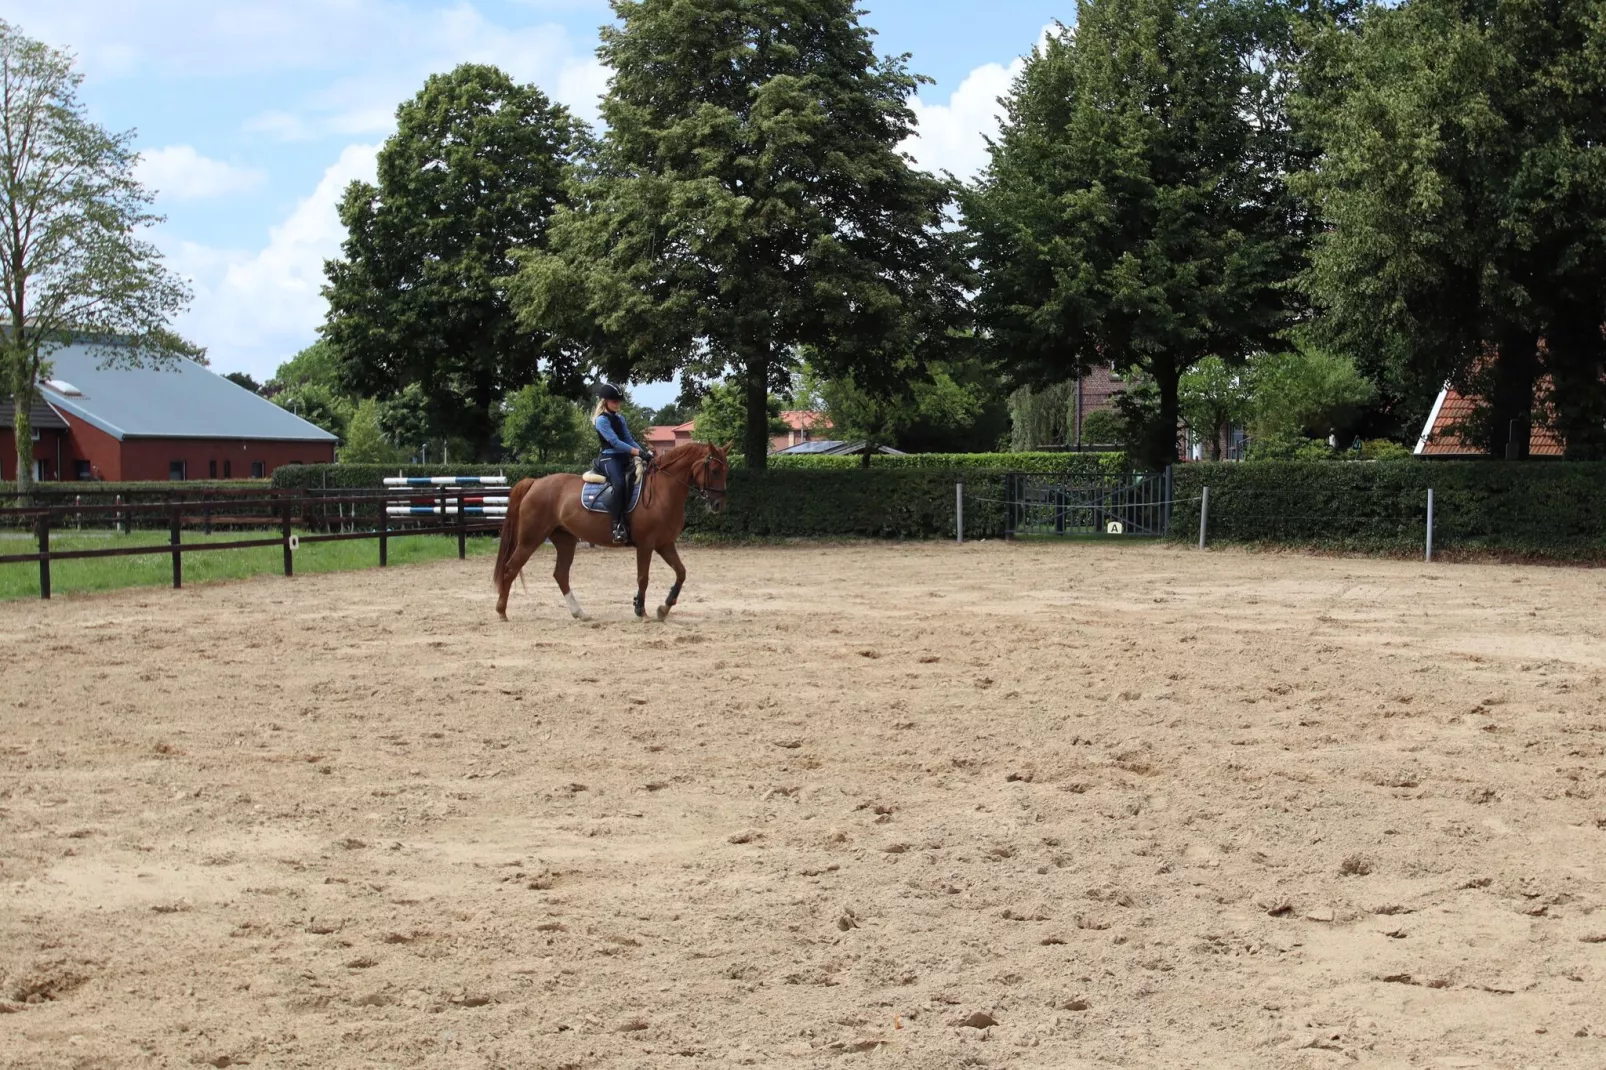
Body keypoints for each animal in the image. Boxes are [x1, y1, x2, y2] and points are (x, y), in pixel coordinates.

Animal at [491, 440, 732, 620]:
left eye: (725, 470)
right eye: (714, 470)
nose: (719, 504)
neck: (663, 490)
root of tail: (535, 482)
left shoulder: (665, 544)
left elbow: (681, 572)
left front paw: (664, 608)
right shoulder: (646, 545)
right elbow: (643, 577)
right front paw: (640, 610)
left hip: (565, 540)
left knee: (560, 574)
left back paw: (580, 613)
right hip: (530, 539)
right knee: (511, 568)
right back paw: (501, 611)